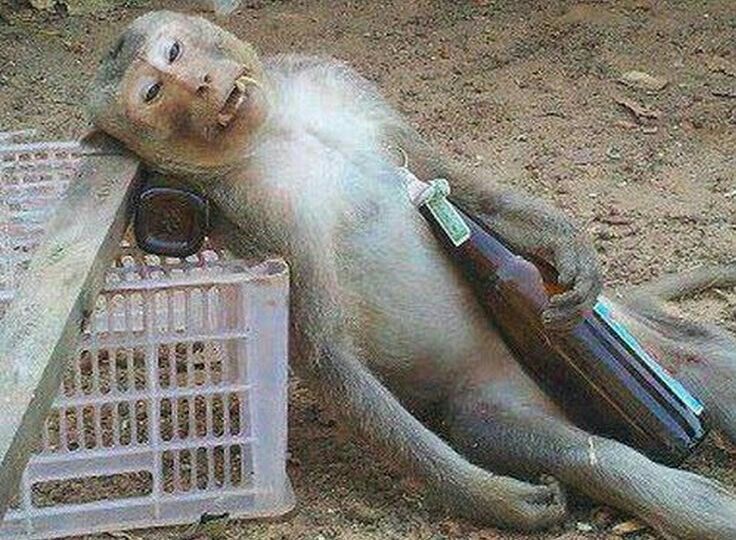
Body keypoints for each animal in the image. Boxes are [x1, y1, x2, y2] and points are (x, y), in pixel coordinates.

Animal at [86, 11, 736, 538]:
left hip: (629, 335)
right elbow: (327, 351)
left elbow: (438, 173)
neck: (278, 129)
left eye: (172, 55)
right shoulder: (249, 216)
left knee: (702, 358)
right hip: (490, 406)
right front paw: (493, 499)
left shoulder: (335, 81)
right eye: (153, 93)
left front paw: (561, 241)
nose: (197, 85)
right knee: (568, 450)